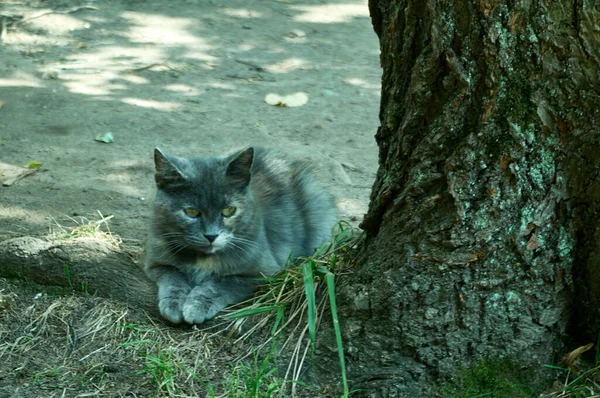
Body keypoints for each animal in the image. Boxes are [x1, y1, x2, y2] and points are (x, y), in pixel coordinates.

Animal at [145, 146, 338, 324]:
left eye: (229, 210)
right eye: (191, 212)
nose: (211, 236)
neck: (204, 258)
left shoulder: (265, 273)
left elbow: (223, 283)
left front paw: (196, 307)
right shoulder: (155, 261)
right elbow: (173, 276)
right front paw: (174, 304)